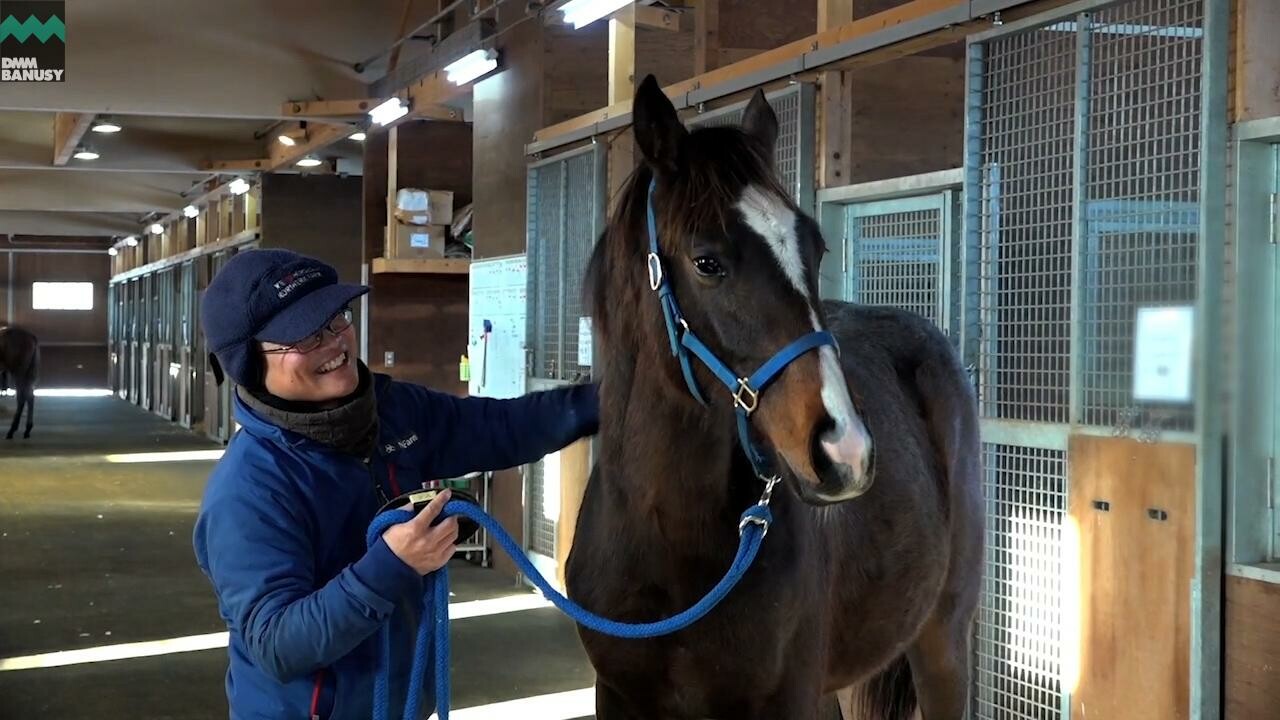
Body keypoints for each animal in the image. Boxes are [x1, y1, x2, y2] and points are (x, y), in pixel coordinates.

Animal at [565, 75, 983, 712]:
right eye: (706, 261)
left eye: (815, 247)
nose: (845, 450)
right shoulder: (617, 696)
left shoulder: (788, 696)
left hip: (941, 644)